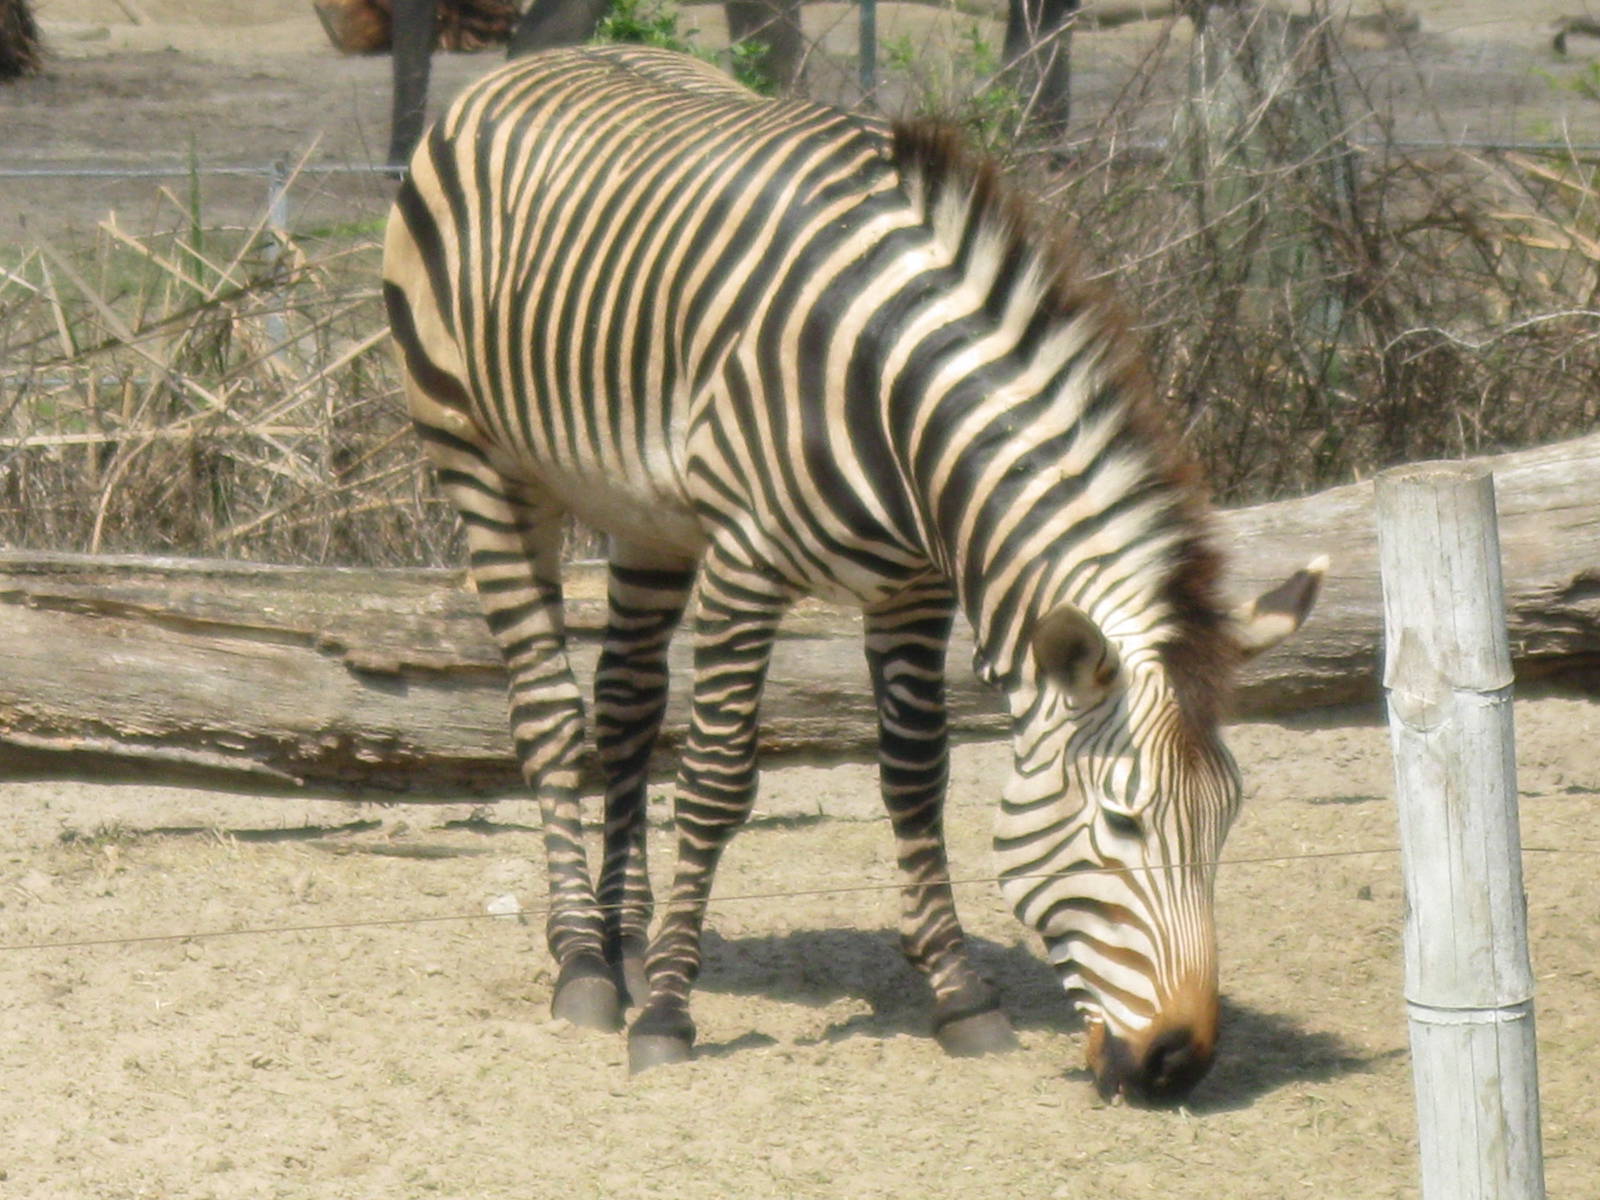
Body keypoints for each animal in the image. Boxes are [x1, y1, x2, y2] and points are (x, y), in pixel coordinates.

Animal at [382, 44, 1323, 1103]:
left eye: (1228, 820)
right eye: (1122, 824)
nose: (1179, 1062)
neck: (895, 391)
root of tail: (532, 64)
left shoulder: (915, 587)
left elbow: (916, 776)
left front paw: (958, 994)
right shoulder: (745, 563)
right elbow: (717, 781)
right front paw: (667, 1013)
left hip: (645, 514)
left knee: (623, 705)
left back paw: (622, 933)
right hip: (481, 462)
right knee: (547, 714)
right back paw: (586, 963)